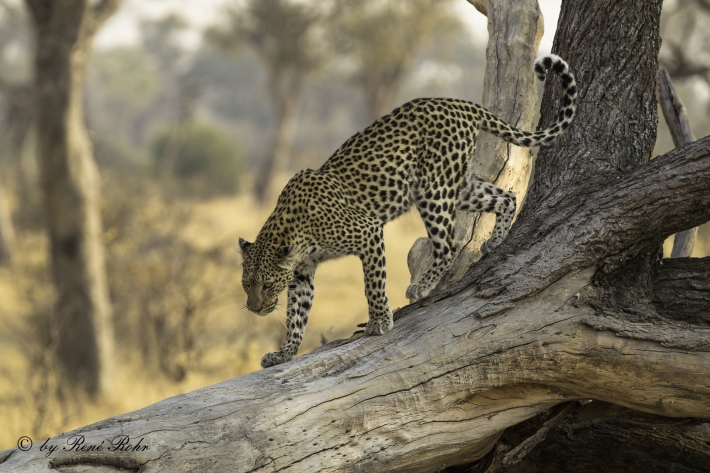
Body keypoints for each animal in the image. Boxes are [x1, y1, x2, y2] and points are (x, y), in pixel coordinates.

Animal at [239, 54, 577, 368]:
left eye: (267, 285)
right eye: (246, 284)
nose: (254, 309)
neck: (292, 232)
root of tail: (459, 103)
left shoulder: (368, 232)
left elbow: (373, 283)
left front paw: (379, 321)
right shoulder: (302, 272)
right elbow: (297, 312)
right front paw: (284, 353)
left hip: (433, 190)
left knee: (449, 242)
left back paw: (422, 286)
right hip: (459, 185)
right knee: (505, 196)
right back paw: (495, 241)